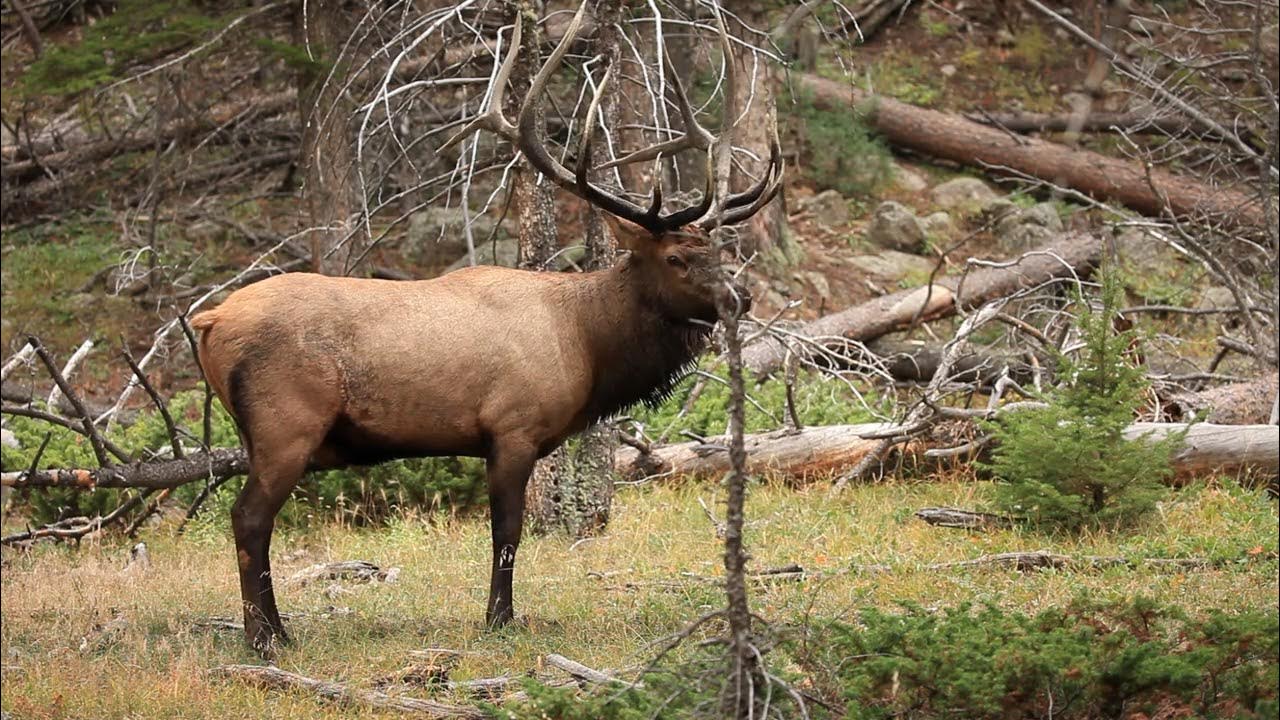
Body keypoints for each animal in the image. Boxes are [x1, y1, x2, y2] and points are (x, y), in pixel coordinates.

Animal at [190, 2, 781, 656]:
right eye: (676, 258)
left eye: (718, 249)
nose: (742, 297)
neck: (586, 346)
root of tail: (208, 319)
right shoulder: (512, 426)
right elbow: (508, 531)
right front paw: (499, 618)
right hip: (286, 424)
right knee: (248, 518)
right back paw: (265, 639)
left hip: (257, 434)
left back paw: (273, 631)